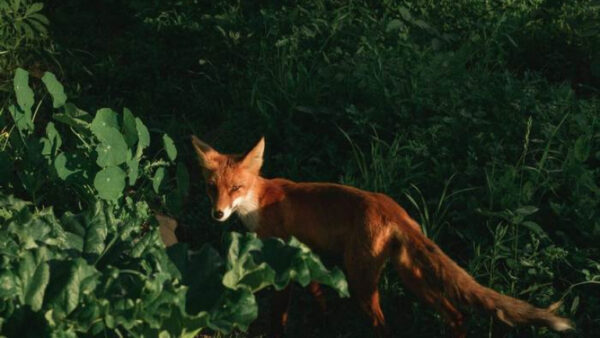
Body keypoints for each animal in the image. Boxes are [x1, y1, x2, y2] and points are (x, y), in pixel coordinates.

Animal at [191, 135, 572, 338]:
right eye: (212, 188)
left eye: (236, 188)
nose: (218, 214)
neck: (258, 202)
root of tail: (392, 209)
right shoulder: (305, 256)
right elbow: (317, 292)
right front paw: (326, 319)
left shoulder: (281, 264)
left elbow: (278, 317)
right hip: (410, 276)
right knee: (456, 314)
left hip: (361, 283)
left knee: (386, 327)